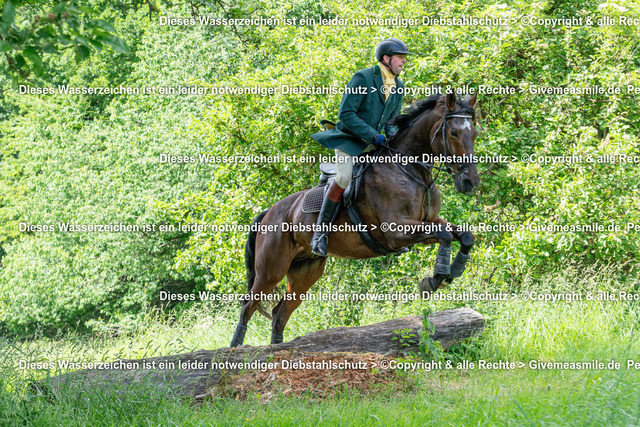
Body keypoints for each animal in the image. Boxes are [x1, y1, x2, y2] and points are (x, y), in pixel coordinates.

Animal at [229, 91, 476, 348]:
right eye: (454, 133)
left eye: (475, 133)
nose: (470, 182)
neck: (412, 171)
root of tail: (269, 212)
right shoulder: (396, 232)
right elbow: (446, 235)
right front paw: (437, 278)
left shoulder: (428, 225)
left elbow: (464, 235)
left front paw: (449, 273)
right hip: (271, 270)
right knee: (248, 307)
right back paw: (235, 348)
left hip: (305, 272)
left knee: (280, 313)